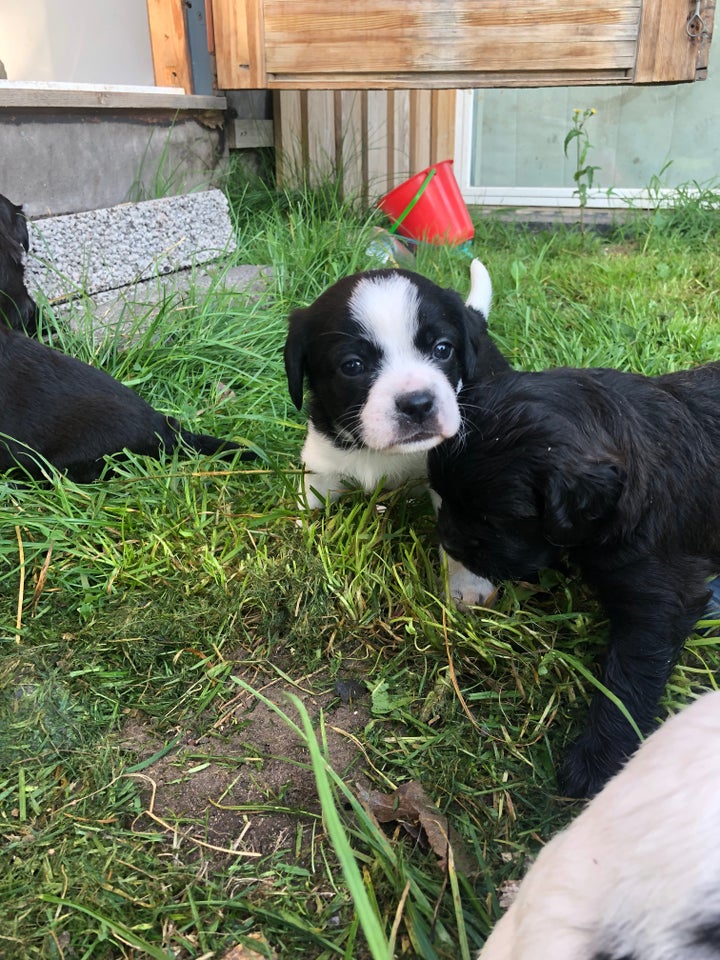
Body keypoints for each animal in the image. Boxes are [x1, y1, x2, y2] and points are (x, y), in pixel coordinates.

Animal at [284, 260, 510, 608]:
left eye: (442, 349)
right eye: (353, 365)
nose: (417, 404)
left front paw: (467, 584)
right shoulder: (321, 463)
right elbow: (309, 504)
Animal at [428, 360, 720, 796]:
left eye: (491, 518)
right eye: (441, 495)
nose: (448, 539)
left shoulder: (660, 598)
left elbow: (629, 681)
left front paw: (597, 762)